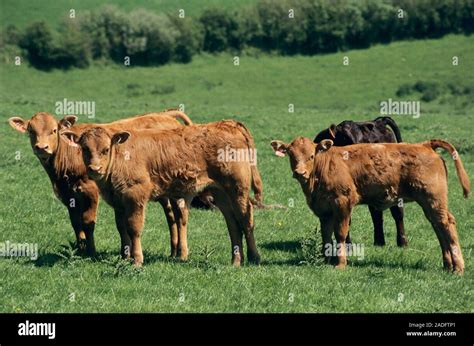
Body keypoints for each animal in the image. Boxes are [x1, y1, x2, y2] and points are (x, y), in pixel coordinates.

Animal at [8, 109, 191, 255]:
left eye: (54, 130)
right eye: (31, 131)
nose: (42, 147)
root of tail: (165, 115)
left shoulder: (91, 191)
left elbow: (88, 222)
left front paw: (91, 252)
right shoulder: (69, 195)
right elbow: (76, 223)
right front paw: (80, 249)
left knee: (179, 214)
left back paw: (180, 252)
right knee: (170, 215)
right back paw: (173, 250)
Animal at [62, 120, 262, 266]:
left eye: (105, 149)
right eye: (85, 149)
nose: (94, 169)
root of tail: (229, 123)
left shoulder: (135, 196)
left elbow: (133, 228)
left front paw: (137, 260)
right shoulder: (118, 202)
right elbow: (122, 228)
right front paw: (125, 257)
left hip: (238, 189)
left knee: (246, 219)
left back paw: (254, 257)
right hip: (220, 193)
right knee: (233, 223)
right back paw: (236, 260)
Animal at [272, 137, 468, 274]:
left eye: (311, 155)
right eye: (291, 155)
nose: (300, 173)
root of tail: (424, 144)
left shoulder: (343, 203)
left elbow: (340, 234)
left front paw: (340, 263)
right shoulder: (324, 210)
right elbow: (326, 235)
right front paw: (325, 259)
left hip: (433, 199)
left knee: (447, 224)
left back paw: (458, 267)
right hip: (429, 203)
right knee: (438, 226)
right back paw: (448, 265)